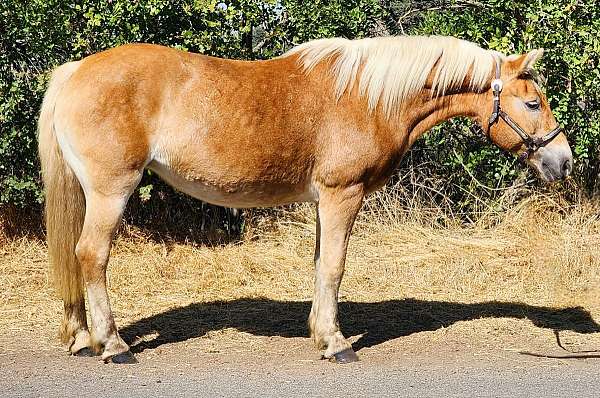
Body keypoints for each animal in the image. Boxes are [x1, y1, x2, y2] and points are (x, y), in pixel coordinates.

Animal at [37, 35, 572, 364]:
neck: (367, 96)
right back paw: (113, 345)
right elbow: (334, 266)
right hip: (112, 190)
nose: (563, 161)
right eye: (532, 102)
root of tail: (75, 71)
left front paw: (319, 330)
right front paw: (336, 343)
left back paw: (82, 338)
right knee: (91, 255)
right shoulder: (342, 195)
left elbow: (319, 265)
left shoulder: (324, 202)